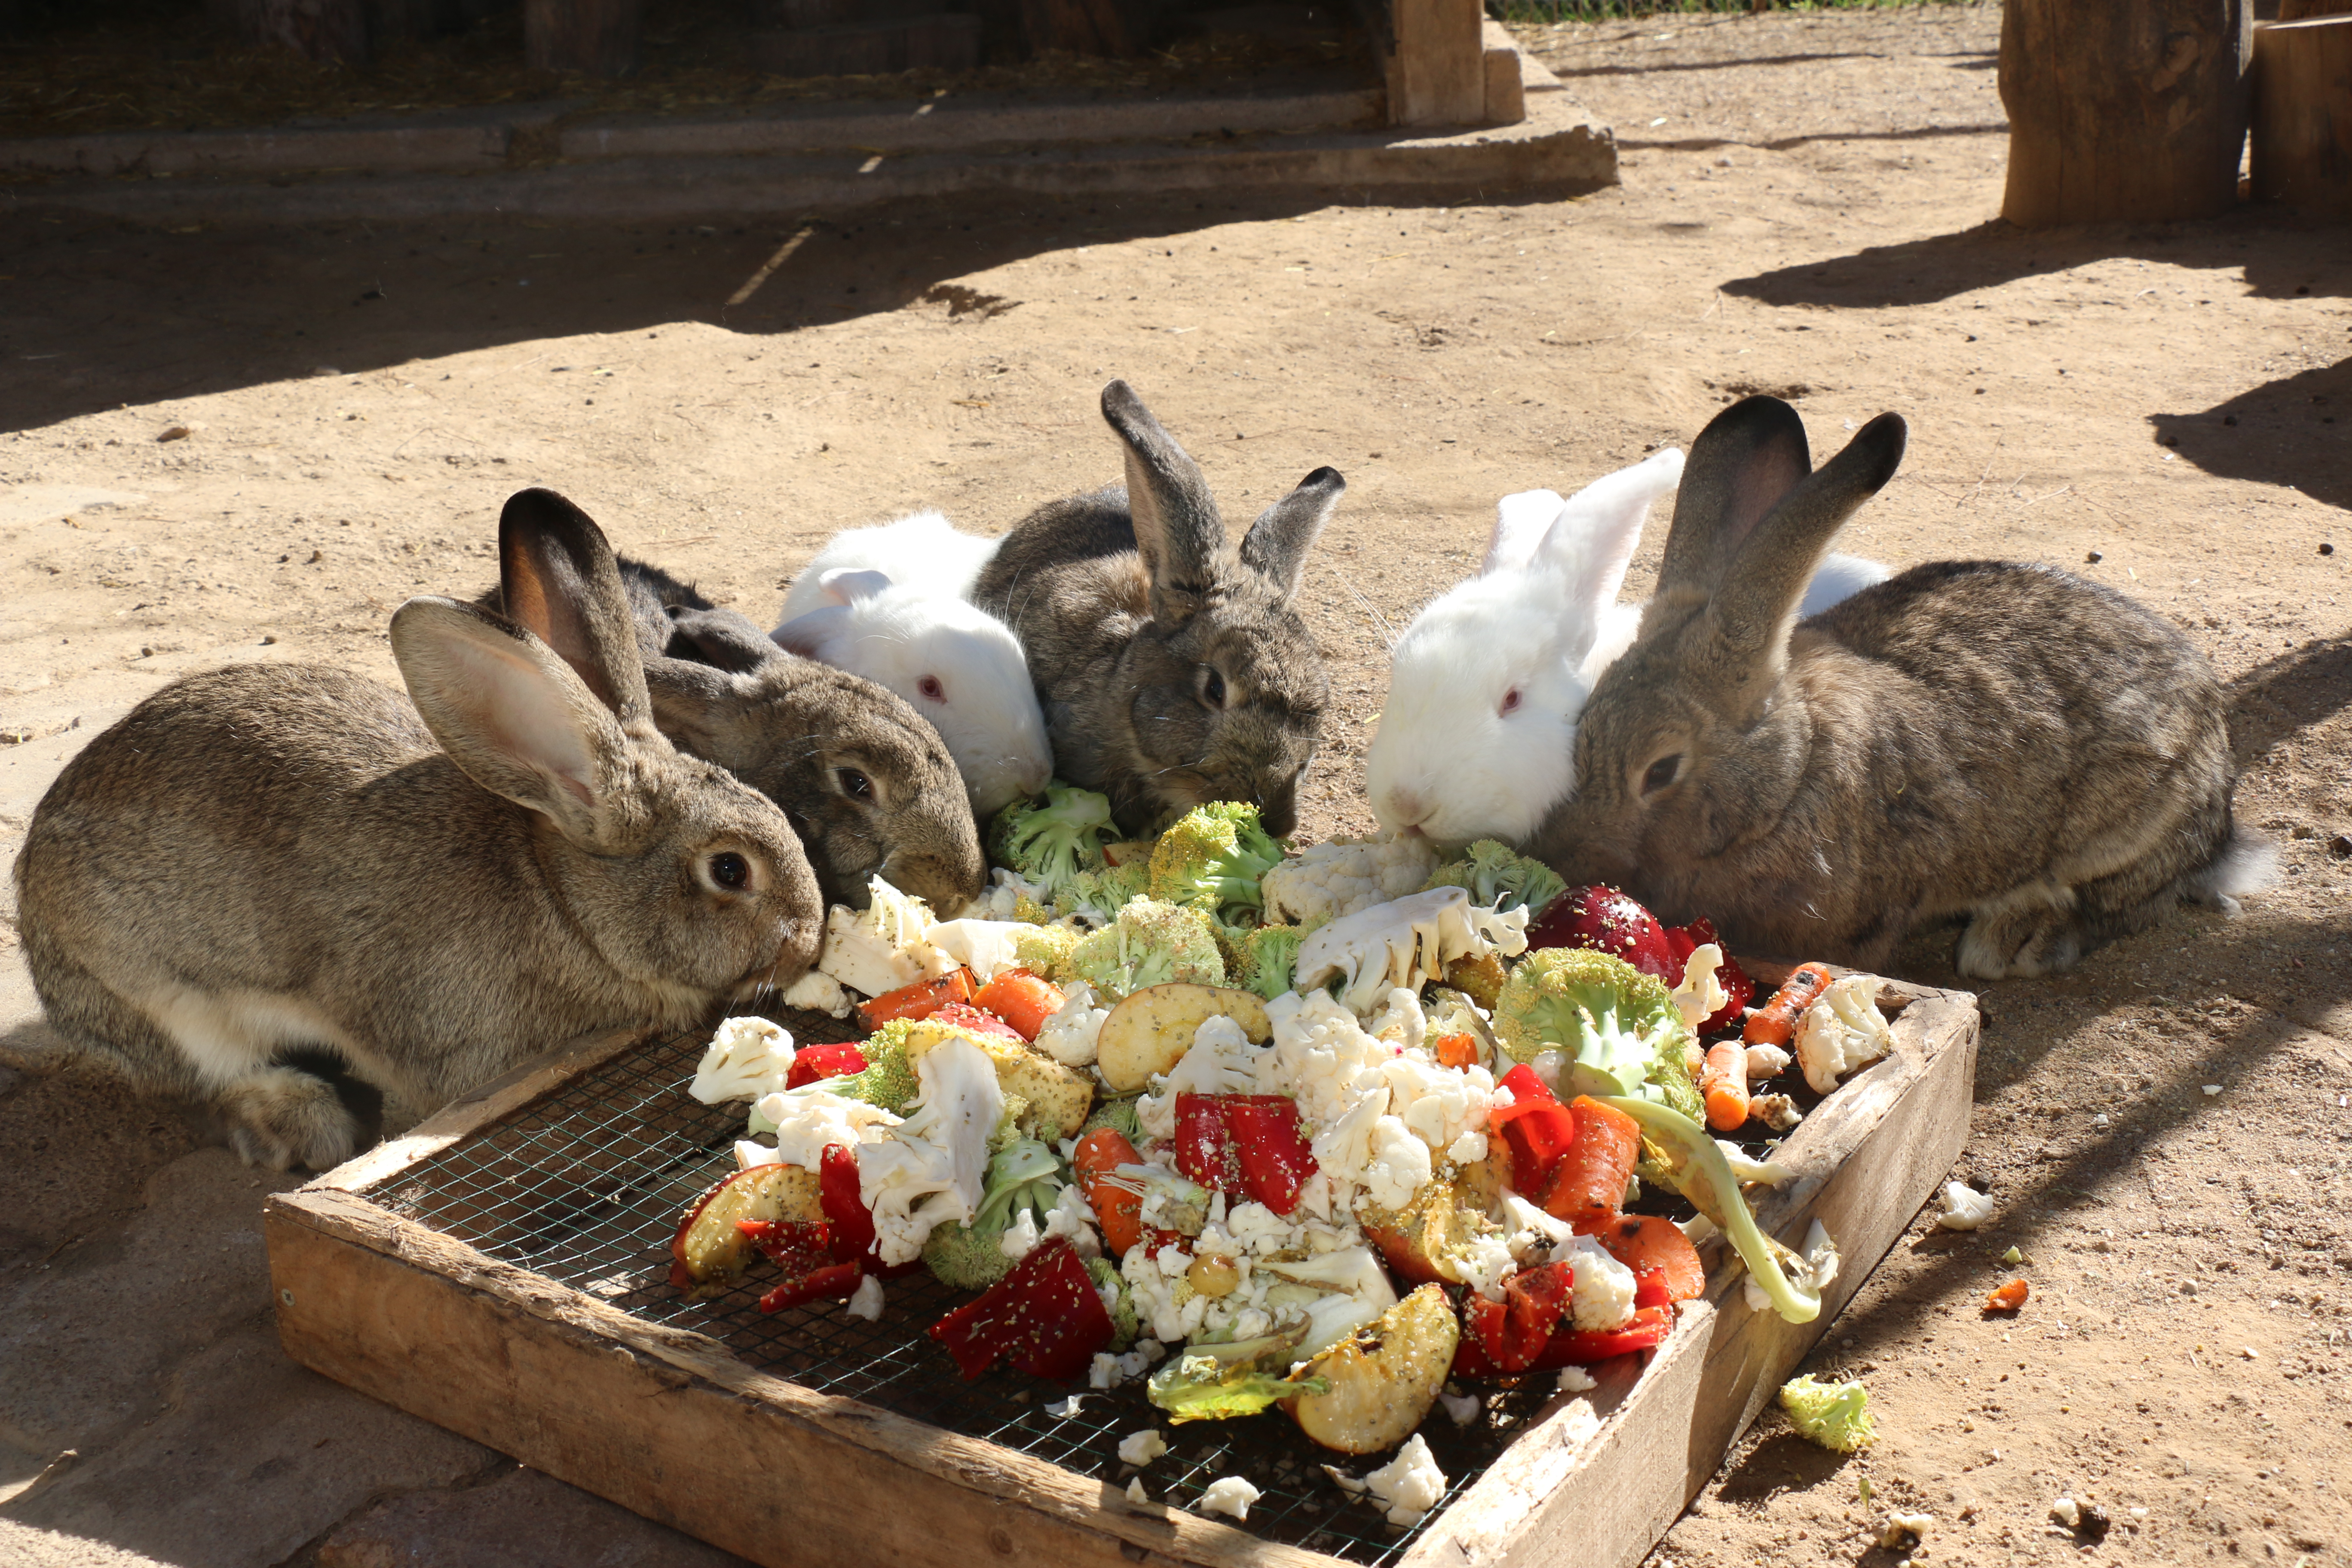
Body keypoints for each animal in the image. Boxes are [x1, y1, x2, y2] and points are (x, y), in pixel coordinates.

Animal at [14, 496, 828, 1170]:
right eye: (729, 870)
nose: (807, 941)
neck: (565, 904)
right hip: (158, 998)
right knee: (210, 1079)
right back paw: (305, 1127)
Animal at [1533, 395, 2267, 983]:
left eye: (1661, 770)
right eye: (1583, 728)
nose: (1562, 859)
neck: (1791, 778)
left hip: (2127, 826)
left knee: (2120, 901)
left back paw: (2015, 941)